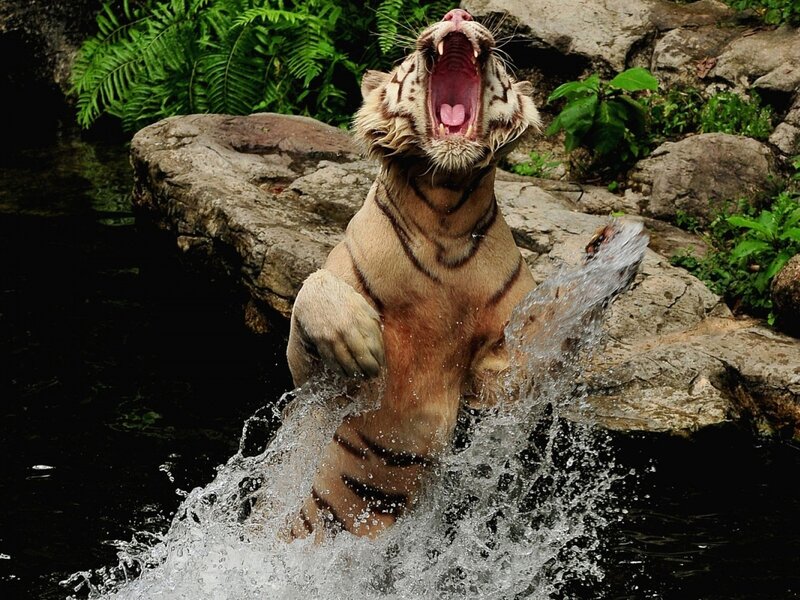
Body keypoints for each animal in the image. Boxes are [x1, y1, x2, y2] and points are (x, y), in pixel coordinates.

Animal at [283, 8, 638, 541]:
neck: (444, 213)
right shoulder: (311, 381)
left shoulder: (500, 378)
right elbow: (311, 291)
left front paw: (610, 255)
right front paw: (359, 342)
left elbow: (549, 334)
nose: (458, 14)